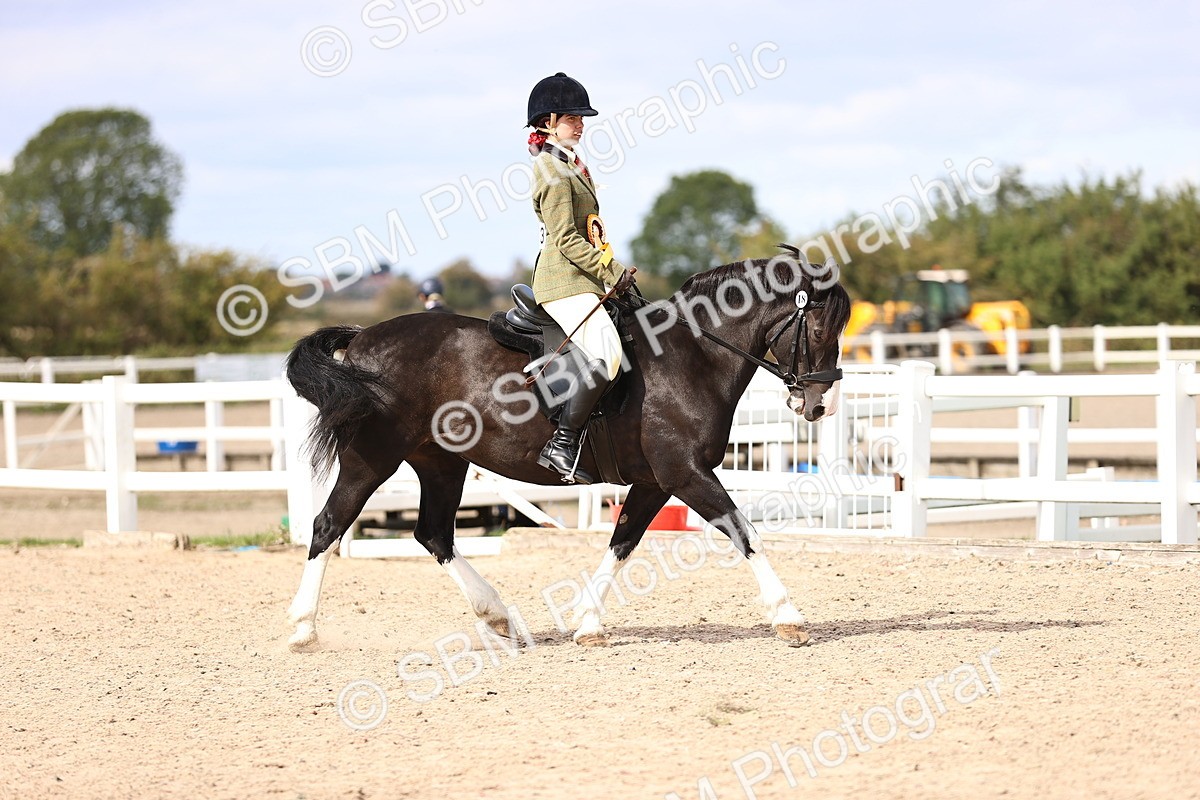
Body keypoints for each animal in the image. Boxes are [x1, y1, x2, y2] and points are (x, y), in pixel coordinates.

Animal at [284, 251, 852, 650]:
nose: (820, 404)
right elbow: (744, 532)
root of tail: (361, 339)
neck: (692, 355)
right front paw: (789, 617)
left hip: (442, 462)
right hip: (372, 458)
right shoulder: (686, 474)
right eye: (820, 327)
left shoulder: (653, 482)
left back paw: (499, 618)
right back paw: (302, 630)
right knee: (329, 526)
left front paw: (589, 624)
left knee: (434, 535)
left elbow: (622, 544)